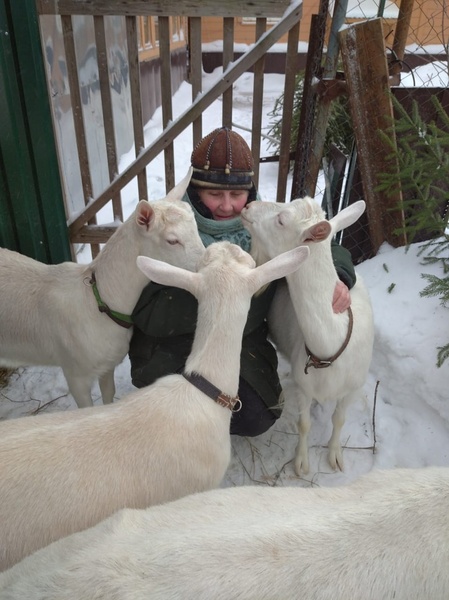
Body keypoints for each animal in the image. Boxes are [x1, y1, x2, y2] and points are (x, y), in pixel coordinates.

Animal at [0, 166, 201, 408]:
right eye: (172, 240)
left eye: (196, 228)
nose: (205, 262)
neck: (98, 302)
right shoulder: (75, 373)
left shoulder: (107, 364)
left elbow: (108, 394)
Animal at [242, 198, 374, 474]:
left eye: (282, 220)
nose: (248, 206)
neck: (330, 347)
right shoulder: (304, 385)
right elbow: (304, 424)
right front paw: (301, 462)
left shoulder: (353, 388)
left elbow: (339, 419)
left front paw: (335, 455)